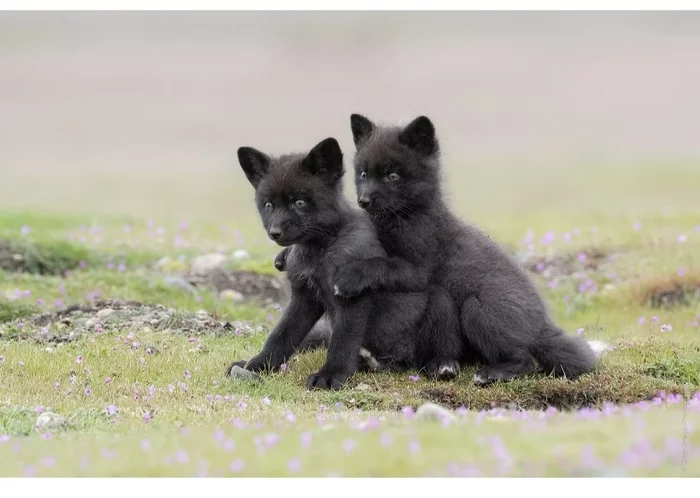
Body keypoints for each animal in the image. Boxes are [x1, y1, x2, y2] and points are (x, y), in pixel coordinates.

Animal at [226, 137, 463, 390]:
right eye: (268, 205)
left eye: (299, 202)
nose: (275, 233)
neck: (319, 252)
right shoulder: (304, 297)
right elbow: (281, 336)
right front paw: (256, 365)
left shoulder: (352, 300)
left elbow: (342, 341)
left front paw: (331, 375)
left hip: (439, 303)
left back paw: (439, 364)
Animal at [324, 113, 609, 386]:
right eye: (363, 174)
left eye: (392, 176)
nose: (364, 200)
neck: (407, 217)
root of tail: (542, 327)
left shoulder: (419, 269)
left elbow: (380, 264)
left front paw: (348, 278)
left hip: (477, 311)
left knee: (527, 360)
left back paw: (489, 374)